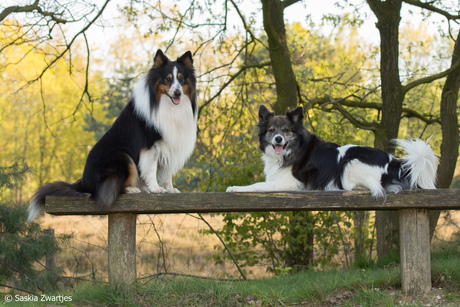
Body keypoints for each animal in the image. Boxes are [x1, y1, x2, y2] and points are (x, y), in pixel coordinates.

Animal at [27, 49, 196, 223]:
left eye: (181, 78)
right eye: (167, 79)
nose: (177, 93)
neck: (167, 105)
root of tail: (83, 183)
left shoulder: (170, 144)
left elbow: (168, 171)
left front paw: (170, 189)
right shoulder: (150, 145)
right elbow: (151, 169)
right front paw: (156, 188)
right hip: (121, 156)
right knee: (115, 189)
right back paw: (132, 189)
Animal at [226, 104, 438, 196]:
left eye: (286, 130)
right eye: (271, 130)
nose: (278, 139)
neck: (291, 151)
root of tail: (395, 162)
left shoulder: (291, 183)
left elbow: (257, 185)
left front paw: (235, 188)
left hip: (350, 162)